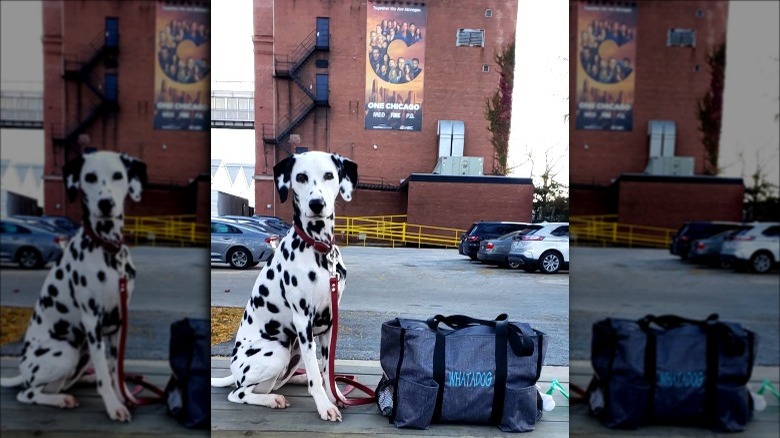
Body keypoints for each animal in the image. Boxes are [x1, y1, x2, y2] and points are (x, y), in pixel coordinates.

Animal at [0, 151, 148, 420]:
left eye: (118, 175)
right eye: (89, 177)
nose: (105, 203)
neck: (108, 249)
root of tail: (23, 372)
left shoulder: (118, 321)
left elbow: (115, 370)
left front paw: (124, 397)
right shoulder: (93, 321)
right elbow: (105, 376)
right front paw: (113, 405)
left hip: (83, 352)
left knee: (66, 381)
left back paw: (83, 381)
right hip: (67, 351)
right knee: (27, 393)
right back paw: (60, 399)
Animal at [213, 150, 360, 420]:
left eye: (329, 175)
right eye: (300, 177)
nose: (316, 204)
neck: (319, 248)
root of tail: (234, 373)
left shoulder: (329, 322)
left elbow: (326, 369)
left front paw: (335, 395)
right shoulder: (304, 322)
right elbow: (316, 373)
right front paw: (325, 405)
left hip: (293, 352)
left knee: (282, 379)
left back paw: (296, 382)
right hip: (277, 352)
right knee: (239, 393)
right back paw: (272, 399)